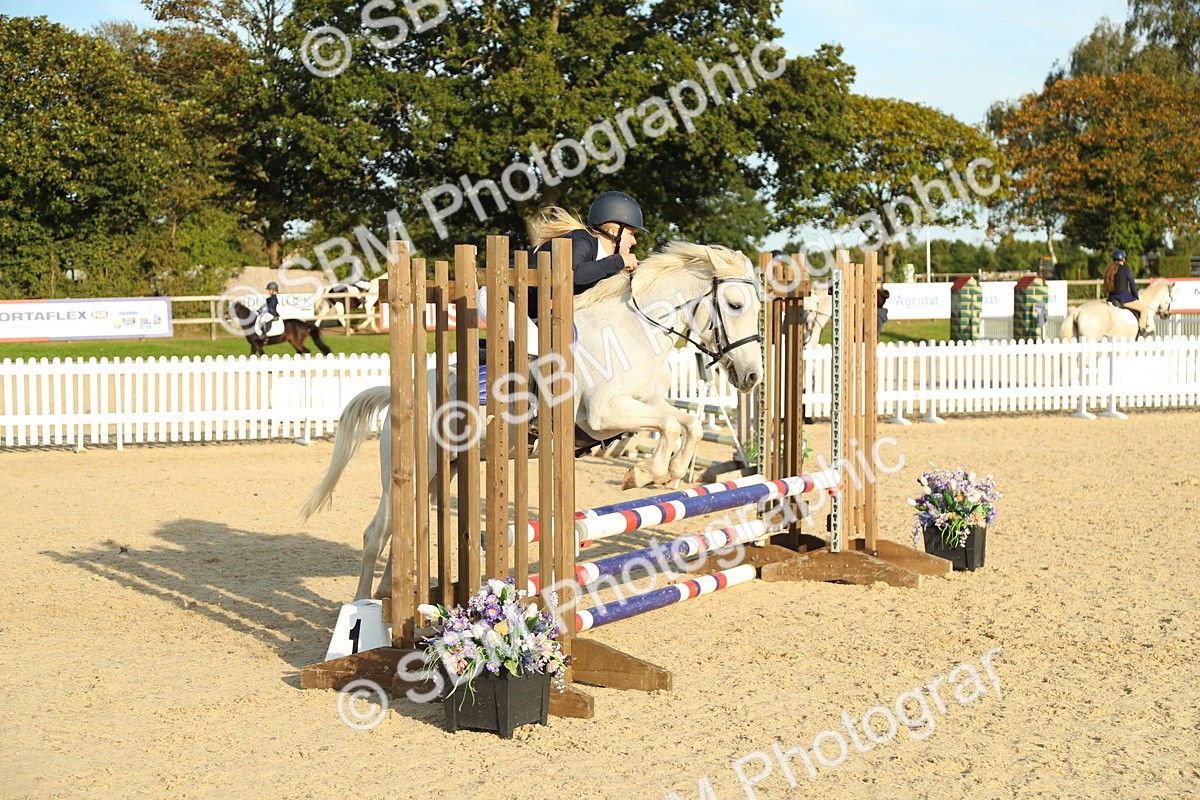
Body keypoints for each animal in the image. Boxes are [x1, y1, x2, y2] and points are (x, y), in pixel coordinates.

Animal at [301, 241, 765, 600]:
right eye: (735, 304)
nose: (752, 377)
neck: (634, 329)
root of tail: (402, 394)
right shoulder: (603, 414)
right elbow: (669, 427)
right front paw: (643, 474)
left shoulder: (644, 405)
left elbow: (685, 424)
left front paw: (666, 473)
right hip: (411, 470)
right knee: (376, 533)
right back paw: (362, 606)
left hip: (441, 473)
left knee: (403, 530)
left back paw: (387, 593)